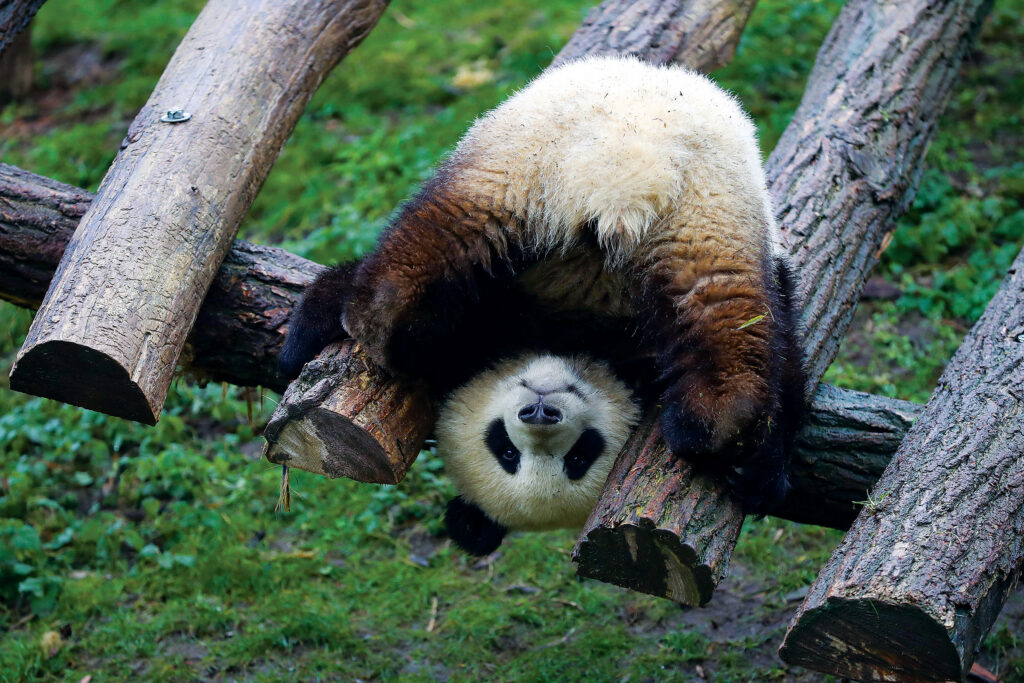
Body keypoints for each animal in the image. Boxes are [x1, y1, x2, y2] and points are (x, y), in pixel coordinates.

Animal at [279, 55, 806, 556]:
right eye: (506, 450)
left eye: (580, 457)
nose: (539, 411)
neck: (573, 345)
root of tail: (622, 178)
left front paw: (762, 477)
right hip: (557, 172)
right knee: (721, 310)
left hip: (560, 173)